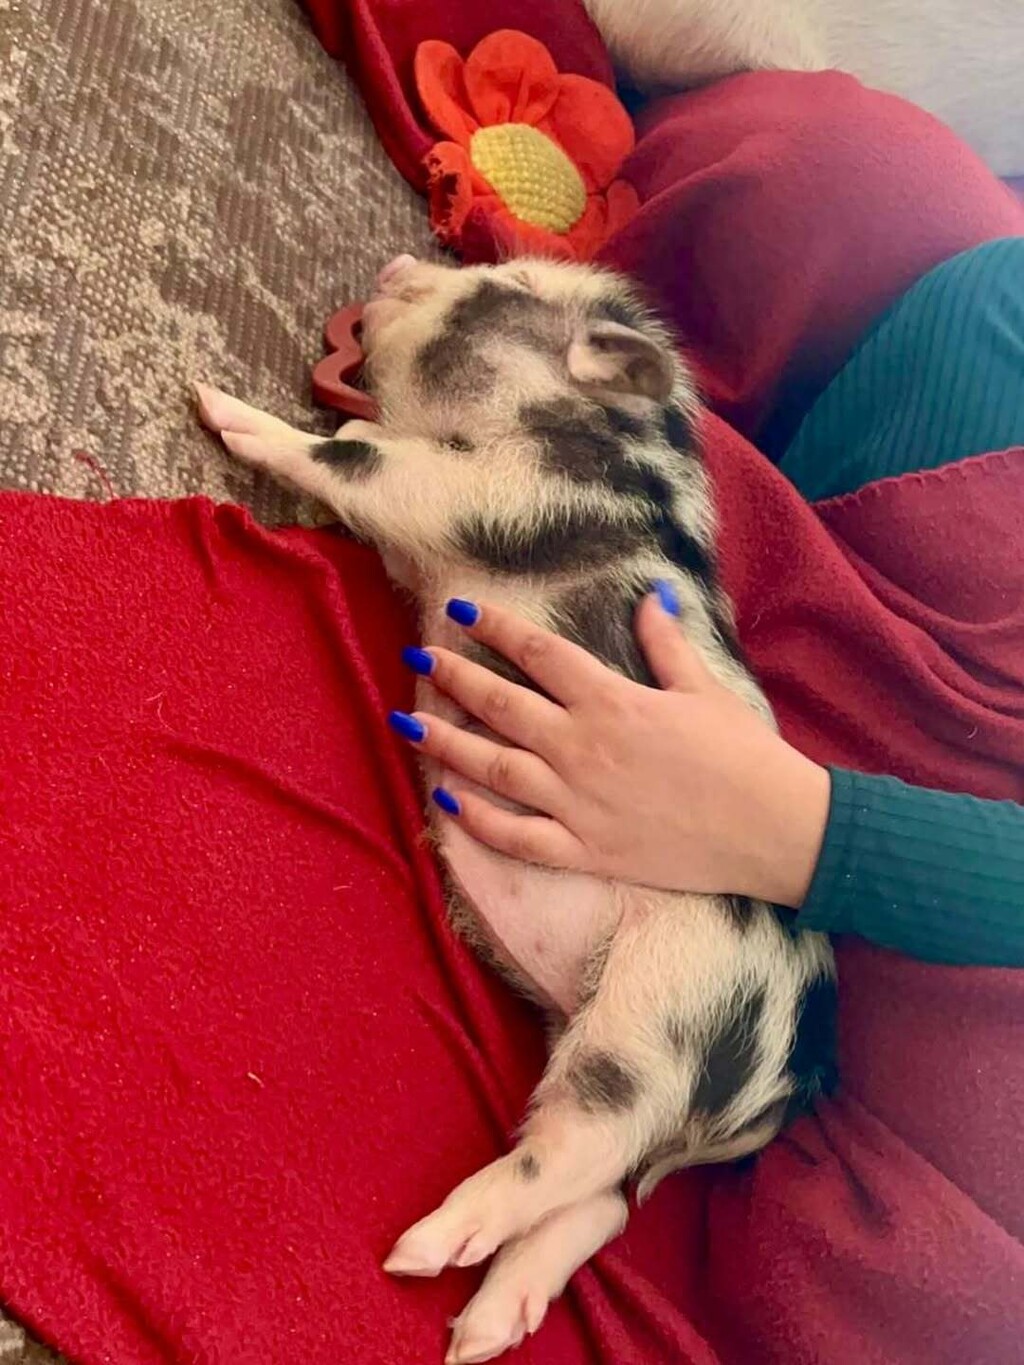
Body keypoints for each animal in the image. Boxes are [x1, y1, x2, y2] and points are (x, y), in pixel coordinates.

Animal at [195, 254, 836, 1365]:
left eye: (499, 291)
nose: (398, 264)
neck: (605, 444)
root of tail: (790, 1074)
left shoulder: (496, 495)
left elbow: (362, 455)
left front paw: (209, 400)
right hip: (616, 1037)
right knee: (609, 1199)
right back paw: (482, 1327)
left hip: (664, 1013)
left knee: (579, 1152)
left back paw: (419, 1255)